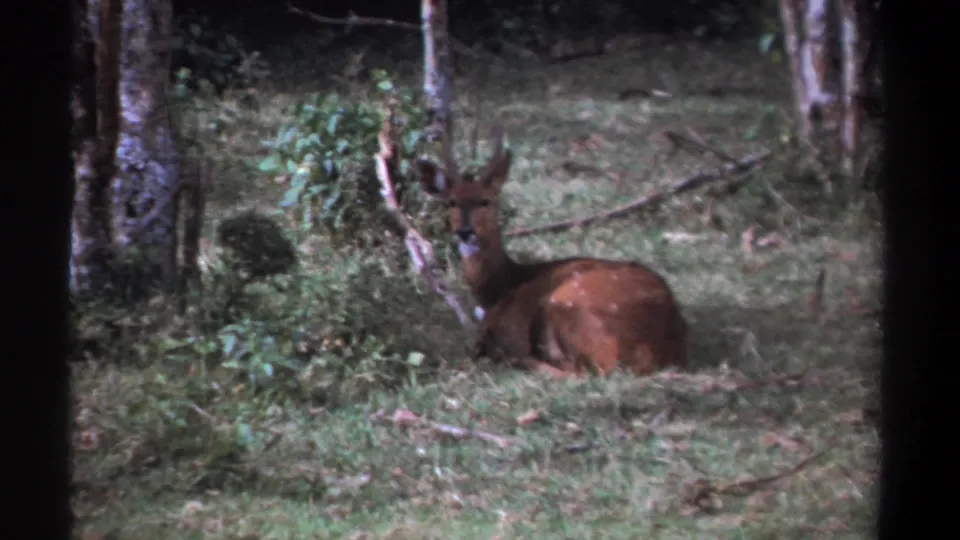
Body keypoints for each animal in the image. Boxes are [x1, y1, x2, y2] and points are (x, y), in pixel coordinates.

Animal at [415, 125, 690, 378]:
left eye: (486, 201)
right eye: (452, 202)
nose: (464, 231)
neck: (501, 287)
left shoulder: (508, 328)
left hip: (563, 304)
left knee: (582, 370)